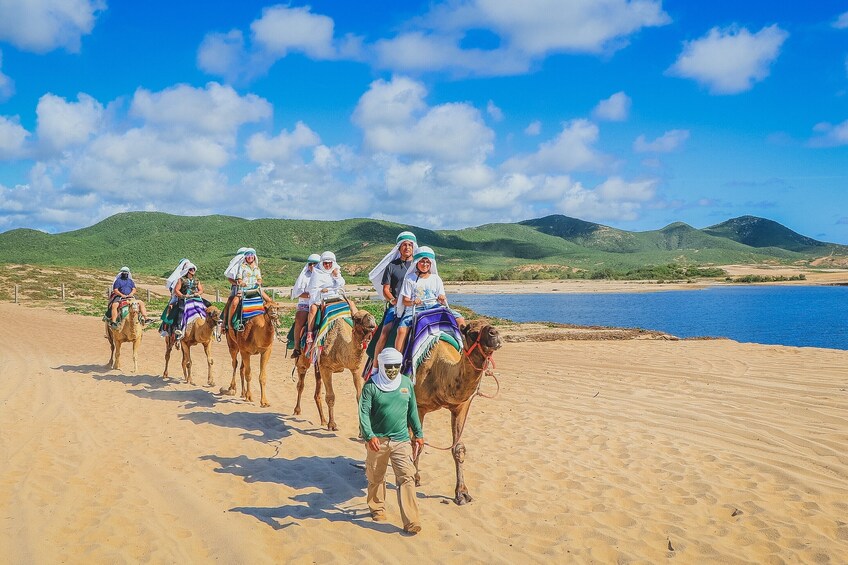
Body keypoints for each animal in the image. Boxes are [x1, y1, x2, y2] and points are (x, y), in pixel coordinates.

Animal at [412, 320, 500, 504]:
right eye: (473, 333)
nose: (495, 333)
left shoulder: (460, 407)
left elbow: (458, 448)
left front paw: (462, 493)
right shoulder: (419, 406)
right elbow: (418, 442)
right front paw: (414, 478)